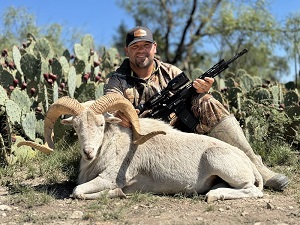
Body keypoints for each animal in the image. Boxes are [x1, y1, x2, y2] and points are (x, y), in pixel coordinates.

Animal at [18, 93, 262, 202]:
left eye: (101, 124)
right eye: (76, 127)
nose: (88, 152)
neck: (111, 147)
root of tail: (249, 164)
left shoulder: (107, 178)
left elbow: (78, 191)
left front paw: (118, 193)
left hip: (222, 165)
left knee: (253, 191)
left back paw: (213, 195)